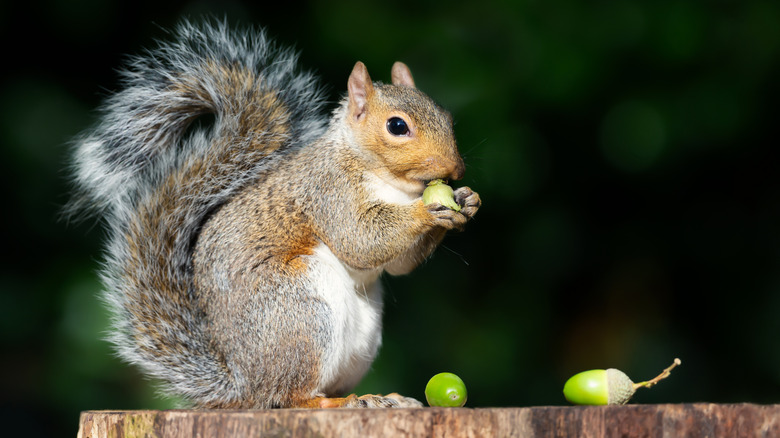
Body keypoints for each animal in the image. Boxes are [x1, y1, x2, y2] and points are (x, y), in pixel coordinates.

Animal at [67, 20, 480, 409]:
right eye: (397, 126)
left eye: (446, 117)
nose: (456, 169)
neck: (392, 183)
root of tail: (242, 384)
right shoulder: (328, 192)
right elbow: (360, 240)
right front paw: (429, 209)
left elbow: (397, 265)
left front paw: (467, 200)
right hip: (301, 312)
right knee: (291, 396)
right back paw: (336, 402)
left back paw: (383, 398)